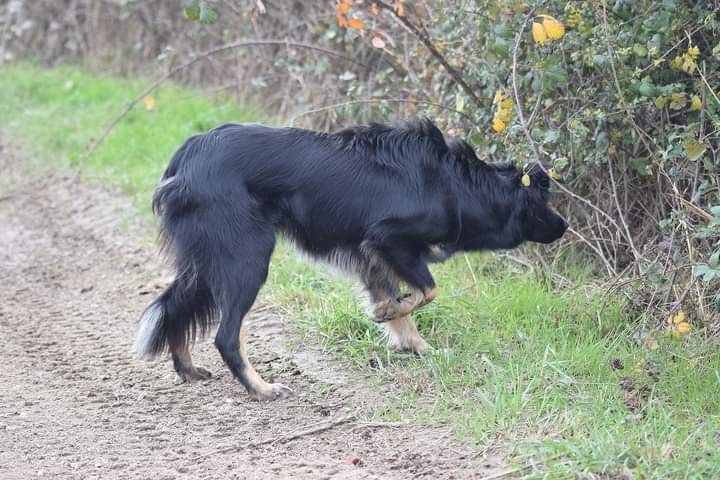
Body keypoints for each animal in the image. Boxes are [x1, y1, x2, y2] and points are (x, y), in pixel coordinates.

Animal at [134, 119, 564, 402]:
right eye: (545, 203)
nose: (566, 226)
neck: (456, 184)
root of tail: (187, 156)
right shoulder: (390, 238)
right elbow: (427, 290)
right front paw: (387, 314)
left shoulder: (373, 253)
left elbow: (404, 305)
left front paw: (417, 346)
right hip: (247, 258)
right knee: (226, 336)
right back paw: (262, 388)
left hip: (207, 264)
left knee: (172, 306)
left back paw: (188, 369)